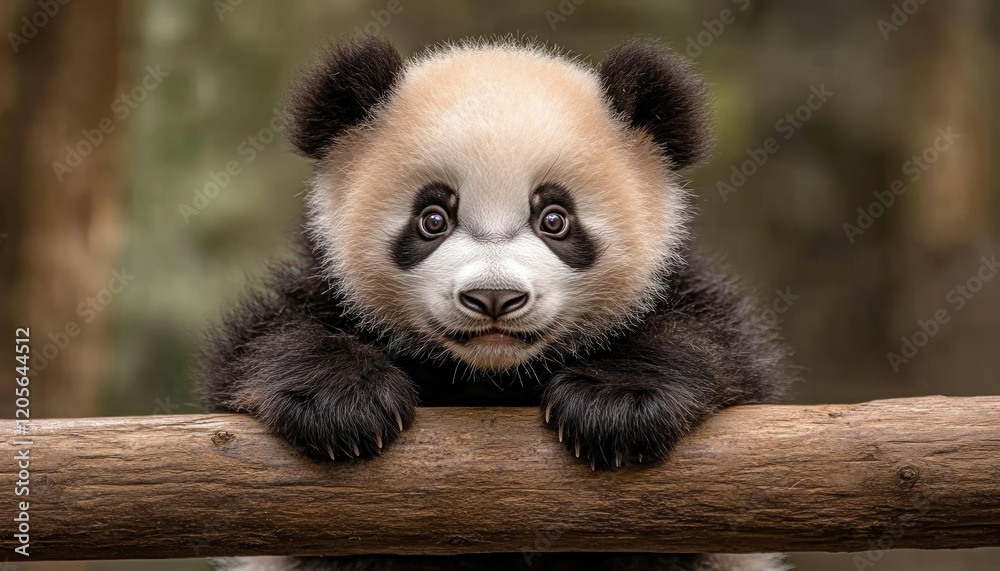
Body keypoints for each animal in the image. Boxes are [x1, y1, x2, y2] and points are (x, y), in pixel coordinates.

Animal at [202, 36, 790, 571]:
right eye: (432, 219)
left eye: (554, 219)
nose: (493, 297)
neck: (491, 376)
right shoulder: (320, 284)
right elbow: (264, 341)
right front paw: (344, 401)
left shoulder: (683, 288)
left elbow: (711, 345)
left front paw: (613, 405)